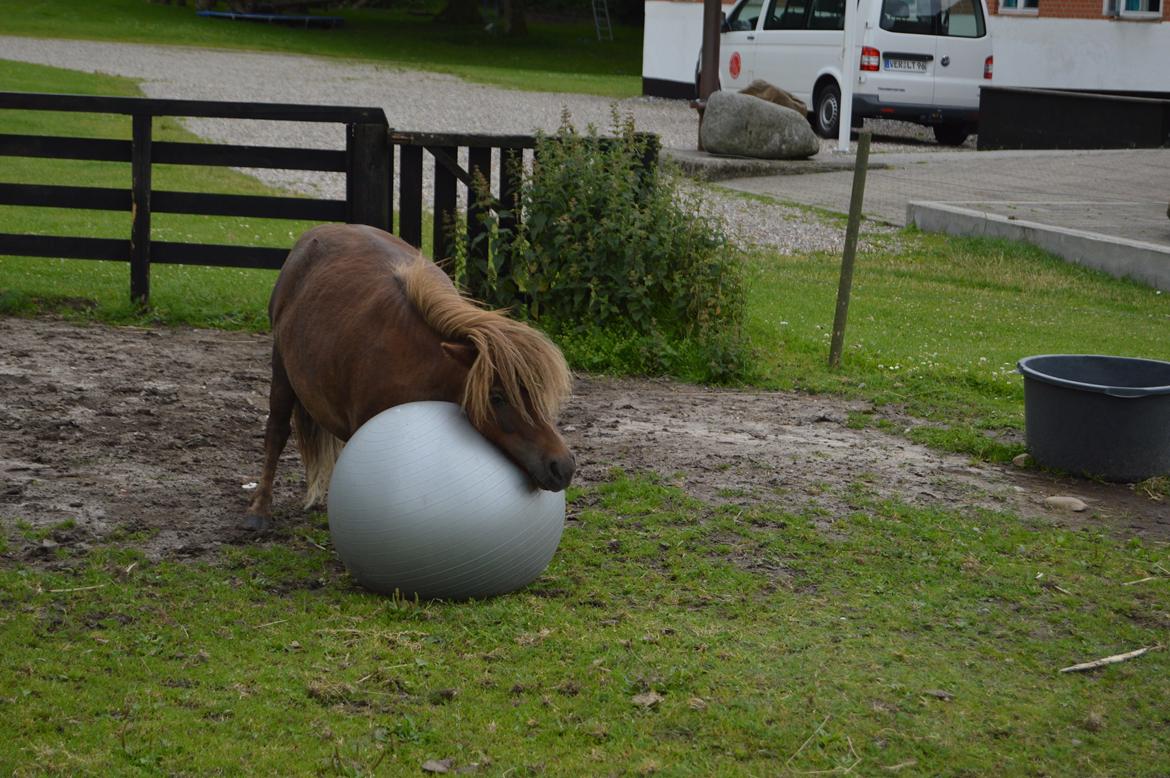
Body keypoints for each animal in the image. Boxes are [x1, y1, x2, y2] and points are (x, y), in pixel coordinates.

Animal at [246, 221, 575, 531]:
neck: (422, 364)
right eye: (497, 397)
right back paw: (259, 510)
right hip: (281, 370)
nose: (562, 467)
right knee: (276, 432)